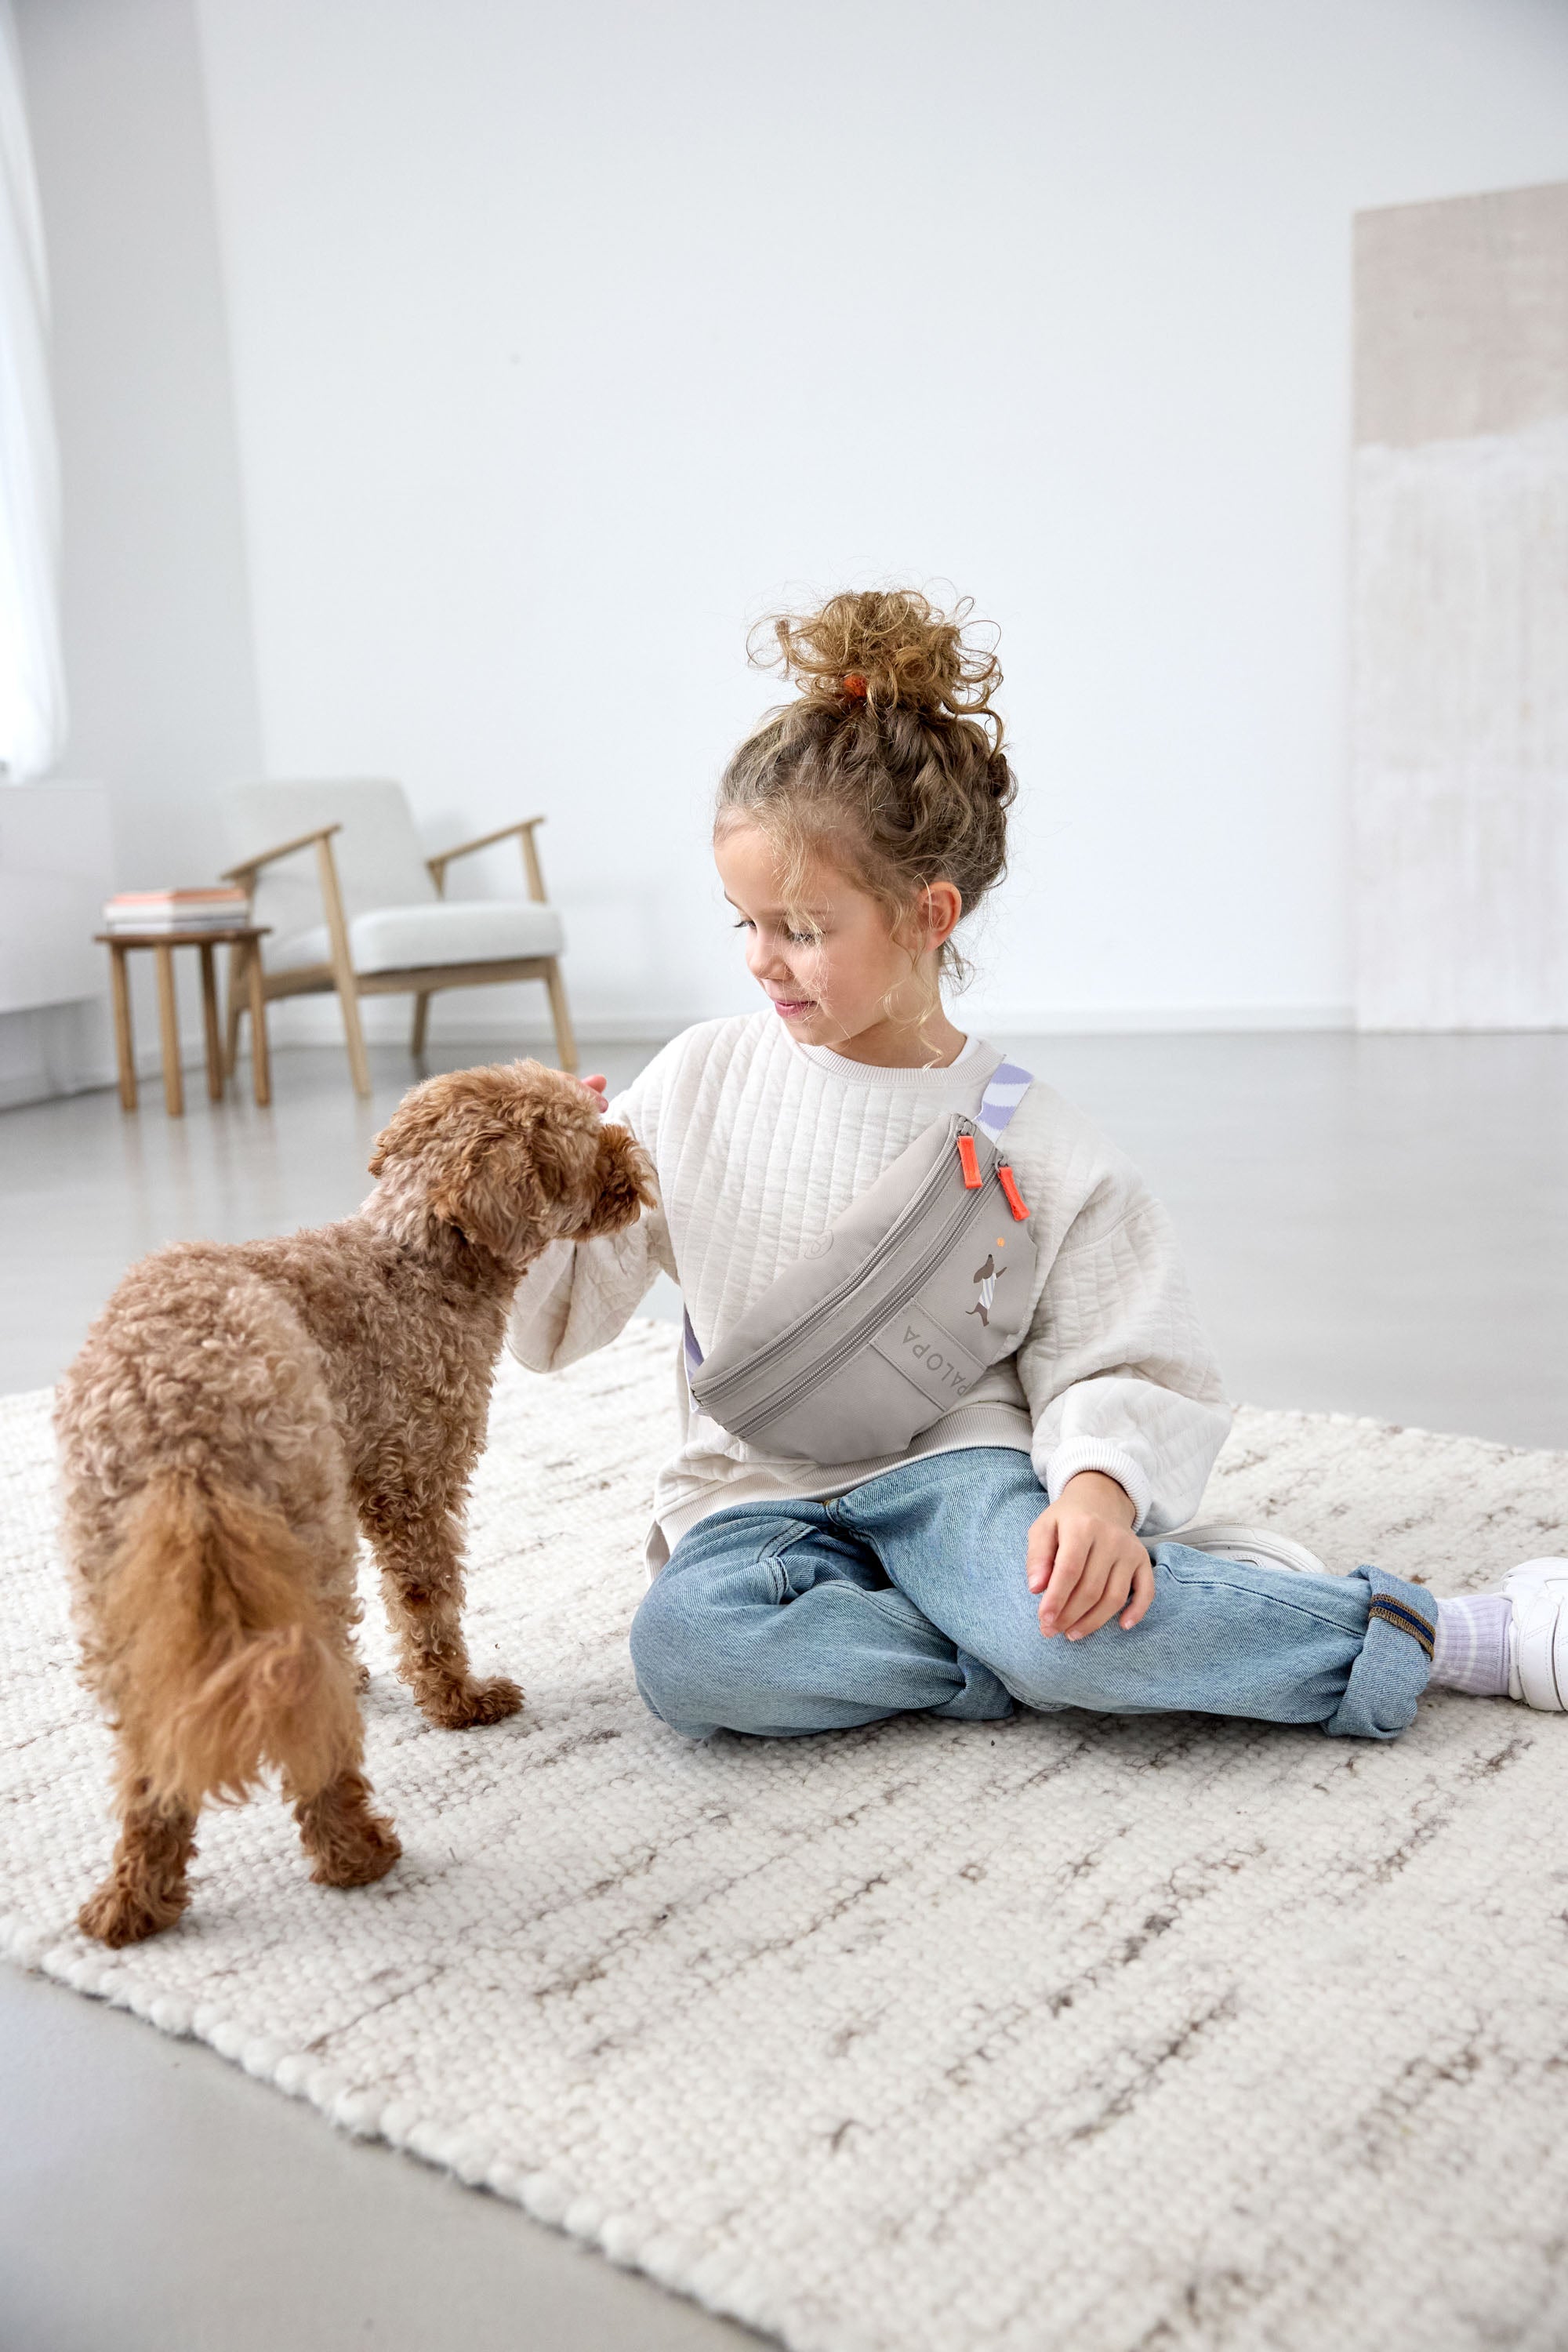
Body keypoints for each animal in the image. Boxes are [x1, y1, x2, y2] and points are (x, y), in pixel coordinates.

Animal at [58, 1063, 653, 1947]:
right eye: (585, 1134)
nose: (635, 1159)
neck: (418, 1265)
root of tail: (180, 1420)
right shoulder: (414, 1484)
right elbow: (428, 1608)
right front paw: (459, 1704)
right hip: (305, 1536)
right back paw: (355, 1854)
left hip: (125, 1582)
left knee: (153, 1752)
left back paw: (135, 1900)